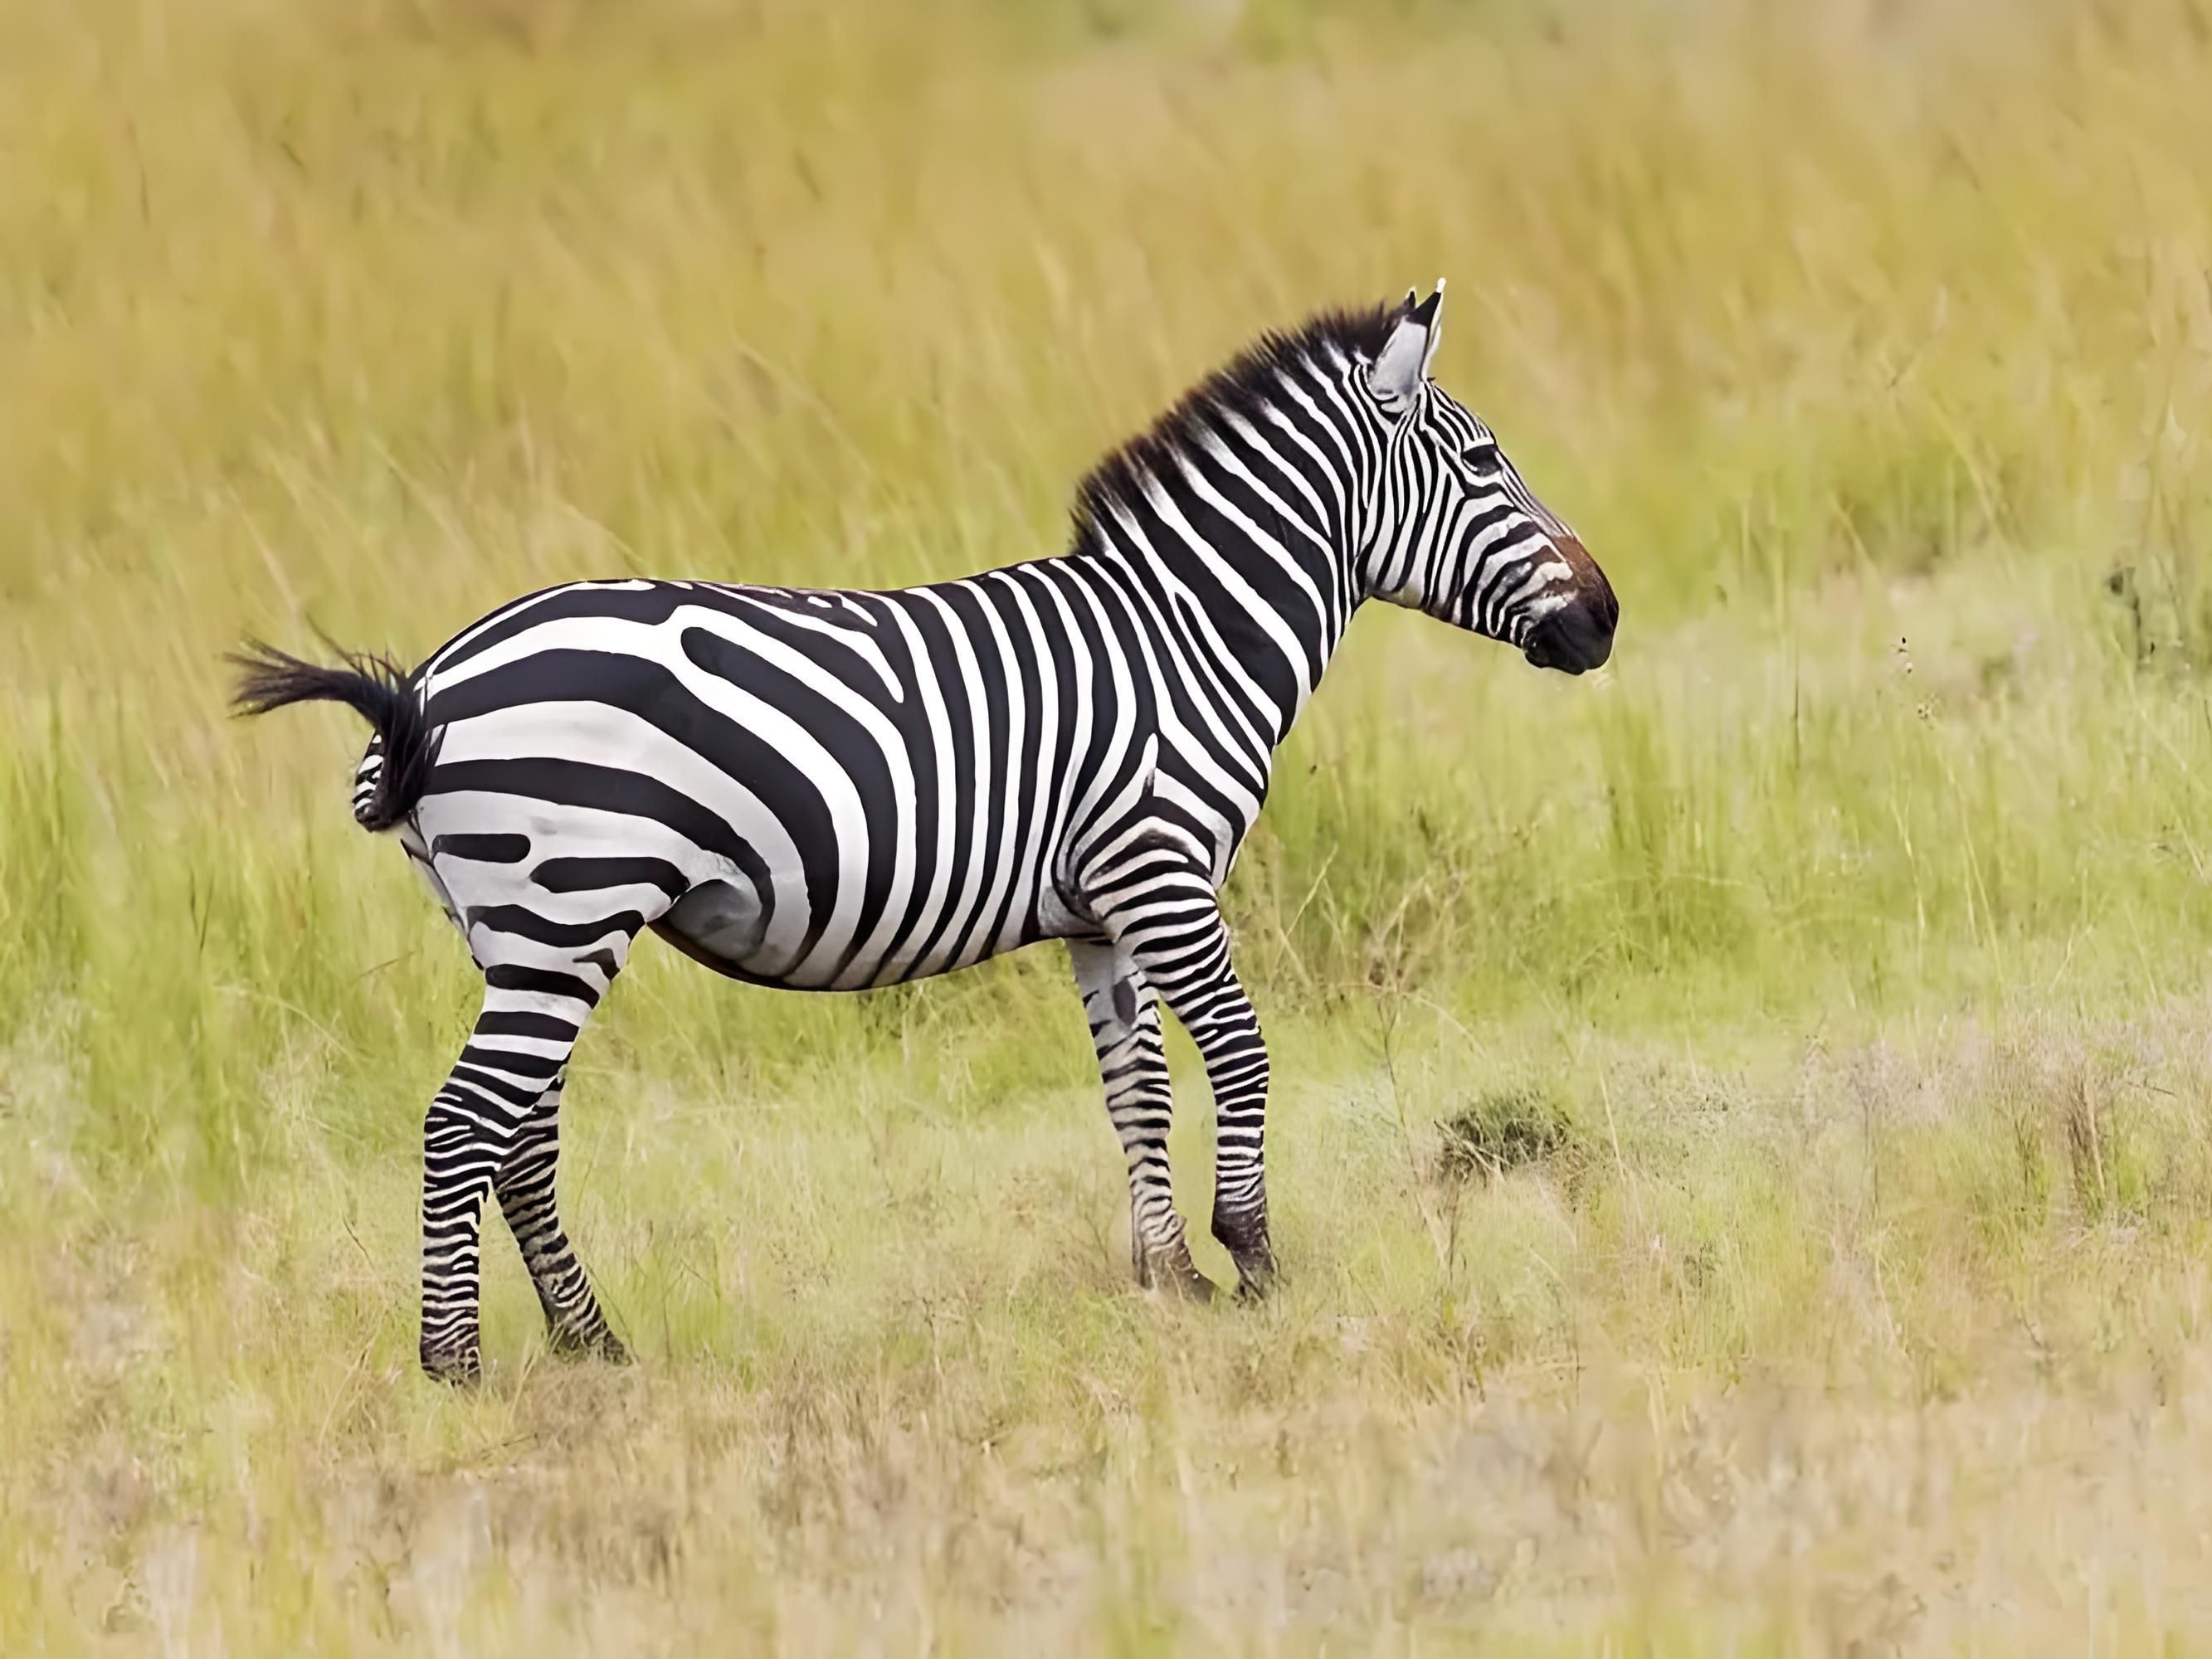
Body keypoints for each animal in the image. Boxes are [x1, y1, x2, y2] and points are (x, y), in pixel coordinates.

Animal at [233, 285, 1619, 1389]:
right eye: (1484, 462)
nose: (1604, 620)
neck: (1184, 637)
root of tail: (424, 687)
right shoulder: (1162, 869)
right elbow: (1236, 1052)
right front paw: (1254, 1258)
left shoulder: (1100, 909)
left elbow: (1135, 1087)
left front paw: (1167, 1279)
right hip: (570, 908)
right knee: (466, 1124)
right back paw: (456, 1370)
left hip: (519, 929)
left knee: (517, 1134)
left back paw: (594, 1346)